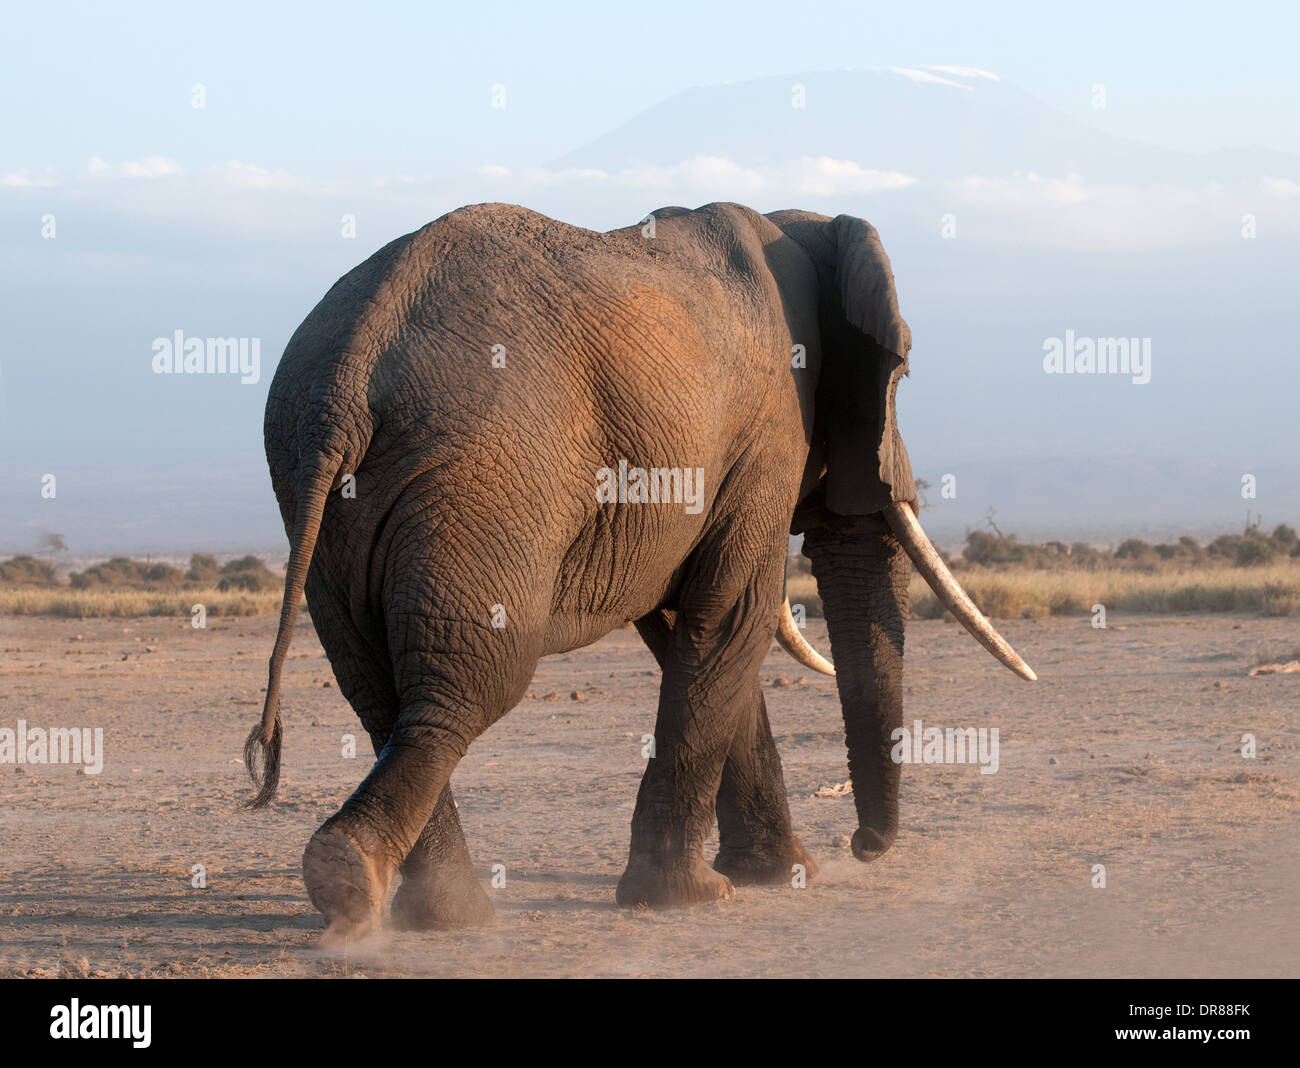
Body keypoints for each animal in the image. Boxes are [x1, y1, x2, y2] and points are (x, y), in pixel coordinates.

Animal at [244, 200, 1034, 935]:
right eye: (902, 369)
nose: (864, 844)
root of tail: (346, 373)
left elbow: (695, 629)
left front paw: (776, 877)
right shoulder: (770, 428)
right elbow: (735, 617)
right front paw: (694, 897)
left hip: (319, 492)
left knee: (377, 689)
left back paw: (443, 915)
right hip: (482, 475)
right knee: (467, 686)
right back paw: (363, 884)